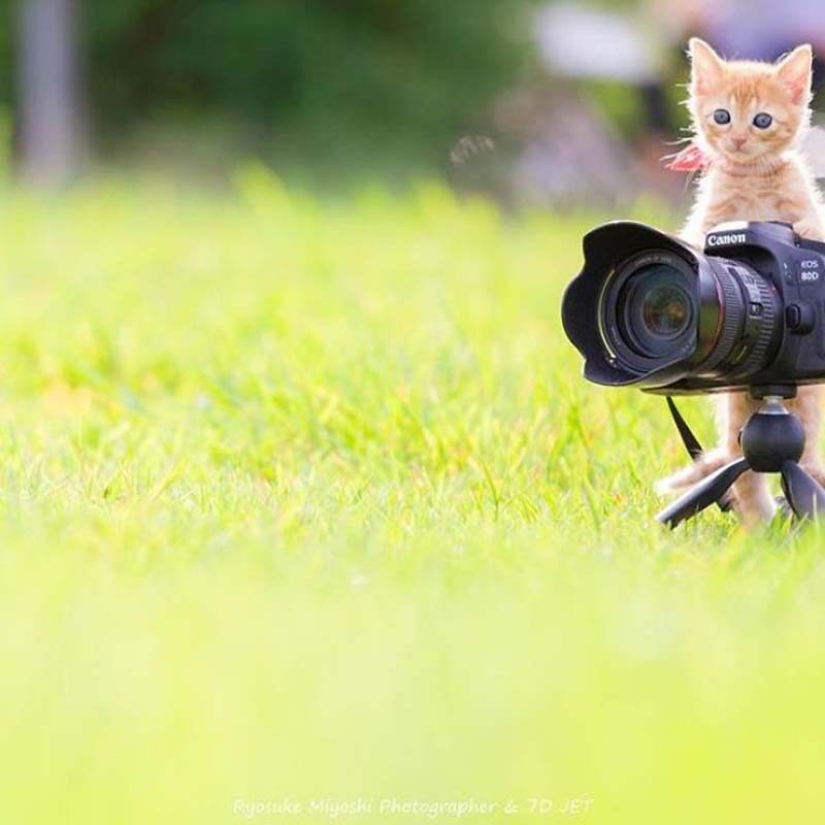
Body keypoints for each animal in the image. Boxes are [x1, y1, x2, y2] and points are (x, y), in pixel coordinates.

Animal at [656, 38, 824, 524]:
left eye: (762, 120)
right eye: (722, 116)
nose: (738, 139)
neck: (753, 182)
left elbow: (813, 226)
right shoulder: (706, 222)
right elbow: (697, 240)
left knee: (802, 460)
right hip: (736, 416)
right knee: (745, 474)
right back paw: (761, 524)